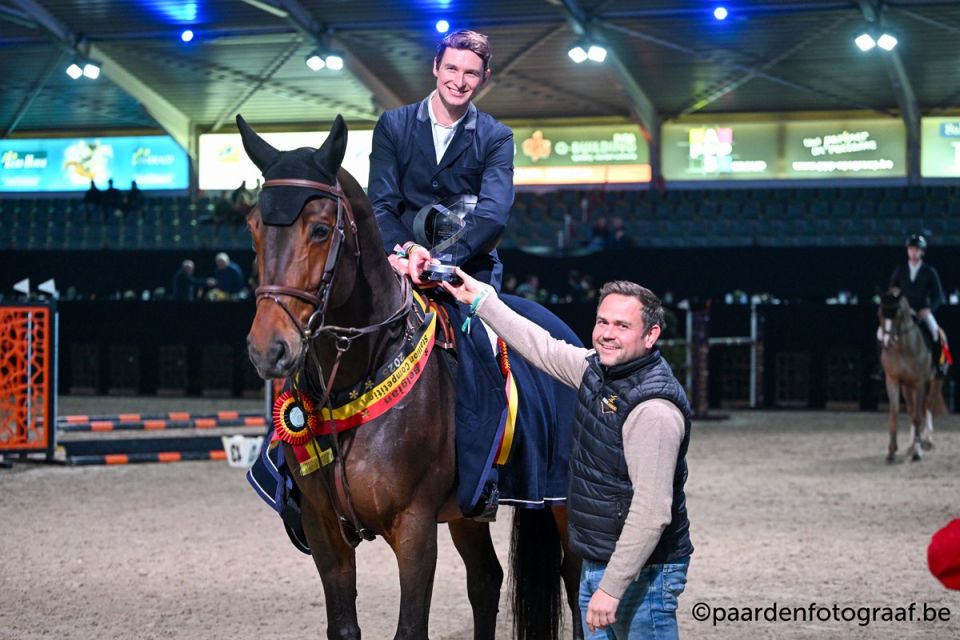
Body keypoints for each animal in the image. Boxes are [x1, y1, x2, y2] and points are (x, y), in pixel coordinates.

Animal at [240, 116, 584, 640]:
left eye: (320, 229)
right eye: (254, 228)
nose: (269, 348)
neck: (358, 376)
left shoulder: (415, 528)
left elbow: (410, 628)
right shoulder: (324, 530)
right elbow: (344, 626)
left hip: (563, 495)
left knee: (575, 577)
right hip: (468, 512)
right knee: (486, 580)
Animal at [872, 292, 940, 462]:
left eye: (897, 314)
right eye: (879, 313)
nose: (886, 342)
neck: (903, 348)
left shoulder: (920, 383)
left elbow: (917, 416)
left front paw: (917, 452)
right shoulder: (893, 380)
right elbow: (895, 413)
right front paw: (891, 452)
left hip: (935, 382)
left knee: (927, 406)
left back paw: (927, 441)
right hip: (906, 387)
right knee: (912, 410)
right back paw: (911, 444)